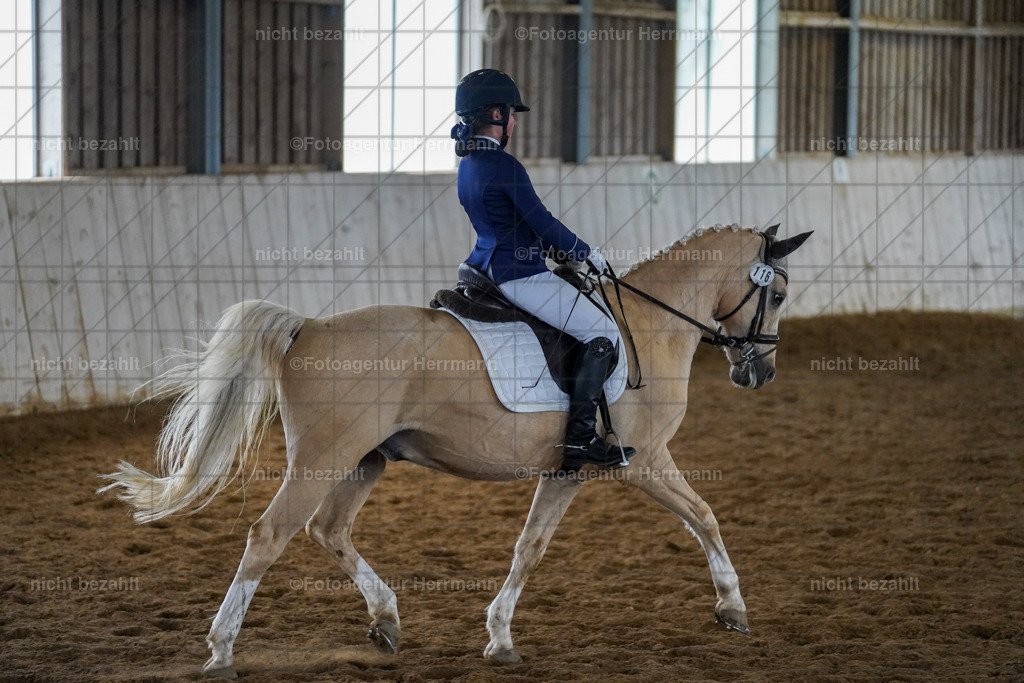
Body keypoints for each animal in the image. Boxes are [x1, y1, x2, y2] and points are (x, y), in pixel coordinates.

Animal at [99, 223, 812, 677]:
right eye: (776, 294)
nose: (759, 372)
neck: (651, 327)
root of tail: (310, 327)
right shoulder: (646, 460)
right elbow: (705, 517)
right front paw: (733, 607)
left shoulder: (569, 472)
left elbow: (530, 546)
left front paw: (499, 639)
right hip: (321, 461)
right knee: (270, 535)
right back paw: (221, 651)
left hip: (366, 459)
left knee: (329, 529)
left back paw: (385, 620)